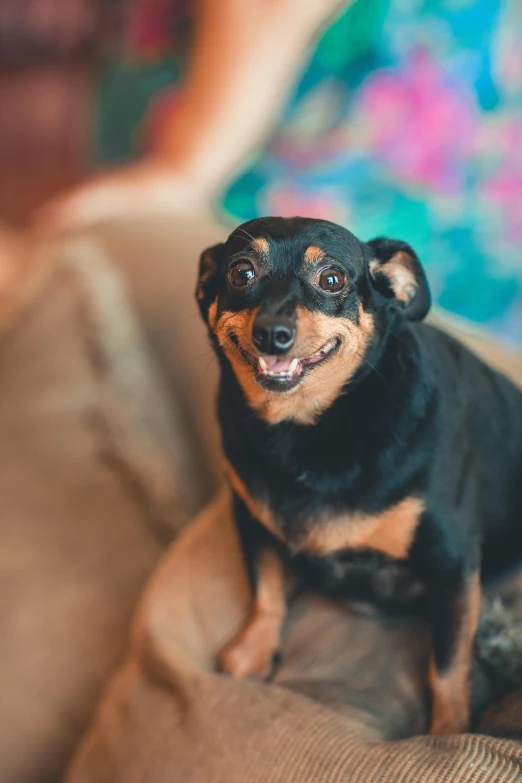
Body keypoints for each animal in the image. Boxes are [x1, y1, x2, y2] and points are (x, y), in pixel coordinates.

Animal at [194, 214, 520, 736]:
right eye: (241, 273)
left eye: (331, 279)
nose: (272, 333)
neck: (305, 429)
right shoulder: (251, 518)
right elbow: (266, 588)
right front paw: (253, 651)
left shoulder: (451, 565)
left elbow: (449, 666)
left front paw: (447, 735)